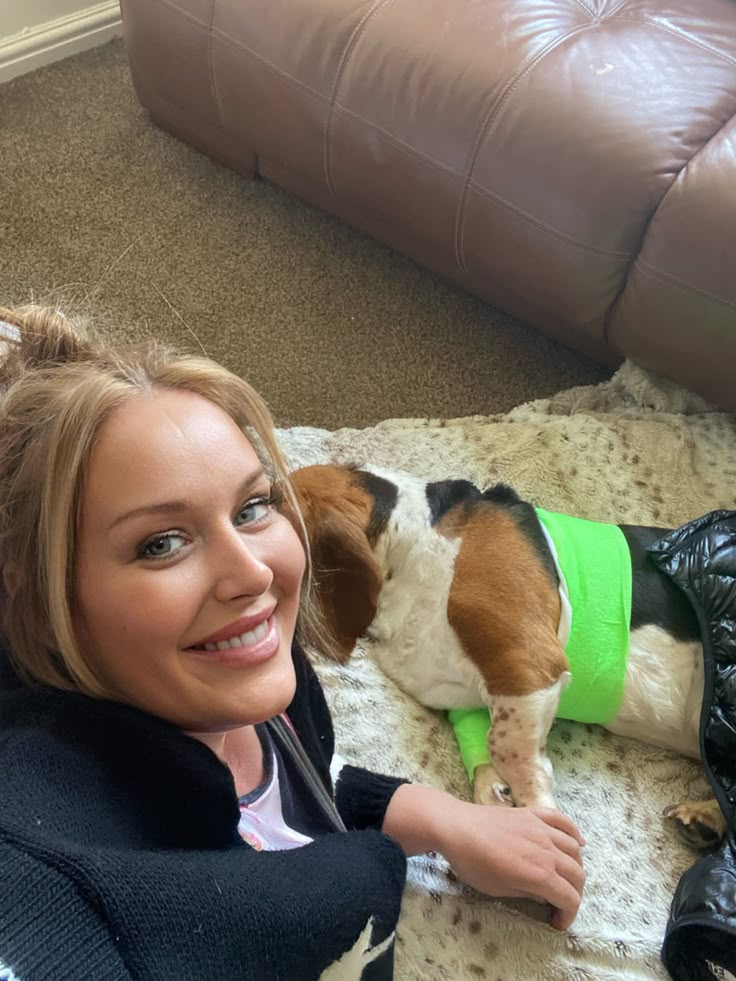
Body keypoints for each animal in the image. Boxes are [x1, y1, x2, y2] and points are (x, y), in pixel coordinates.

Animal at [290, 464, 728, 848]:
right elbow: (484, 744)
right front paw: (494, 793)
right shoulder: (468, 692)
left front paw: (539, 815)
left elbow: (508, 748)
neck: (413, 546)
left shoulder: (528, 665)